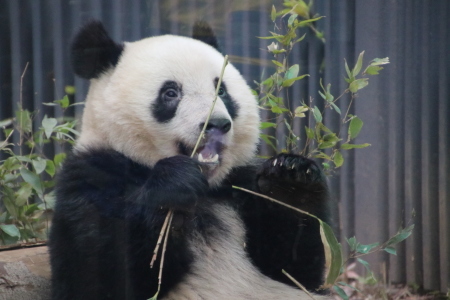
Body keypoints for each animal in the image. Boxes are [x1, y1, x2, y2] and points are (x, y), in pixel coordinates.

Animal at [48, 19, 330, 298]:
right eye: (171, 93)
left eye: (222, 90)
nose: (217, 124)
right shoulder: (93, 178)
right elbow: (97, 275)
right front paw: (175, 184)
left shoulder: (239, 187)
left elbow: (295, 270)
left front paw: (291, 180)